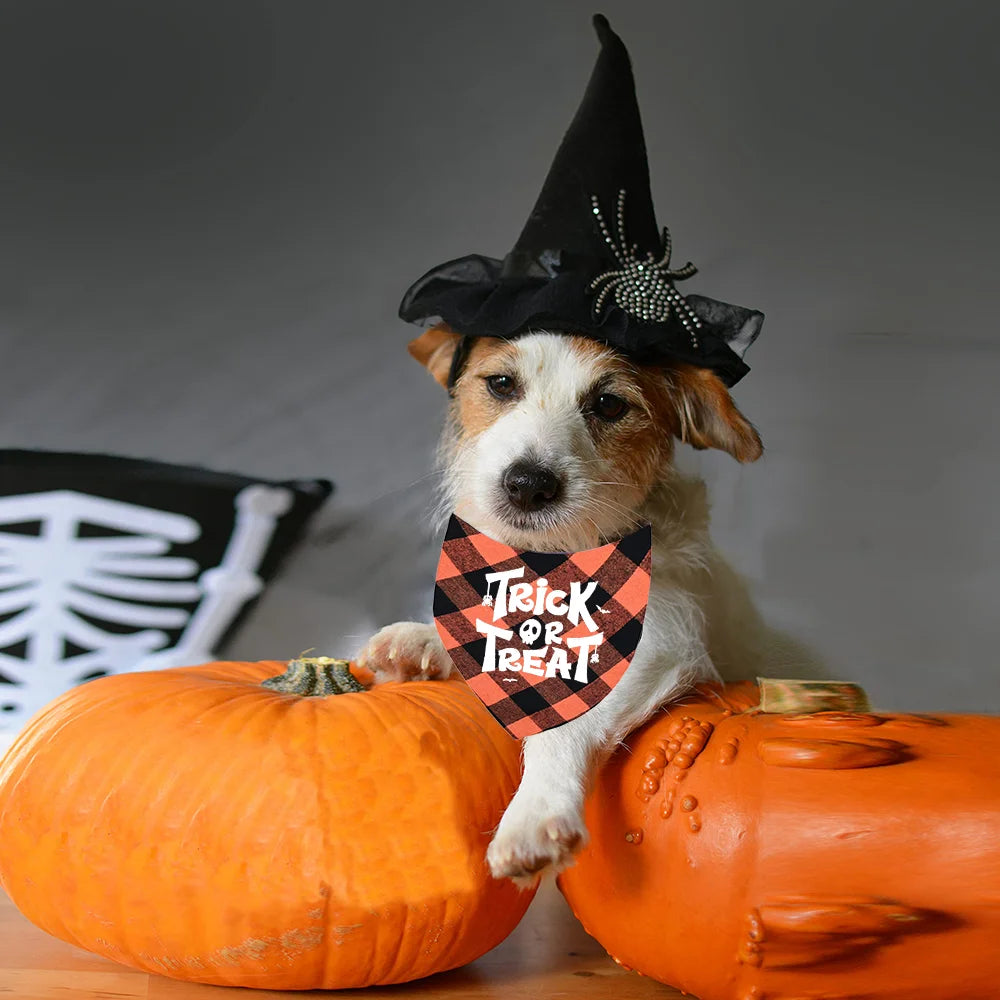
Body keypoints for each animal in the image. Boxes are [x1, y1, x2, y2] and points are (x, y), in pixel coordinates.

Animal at [356, 322, 816, 884]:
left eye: (609, 404)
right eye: (502, 383)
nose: (528, 485)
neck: (559, 556)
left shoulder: (656, 640)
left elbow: (562, 724)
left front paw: (535, 814)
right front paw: (426, 639)